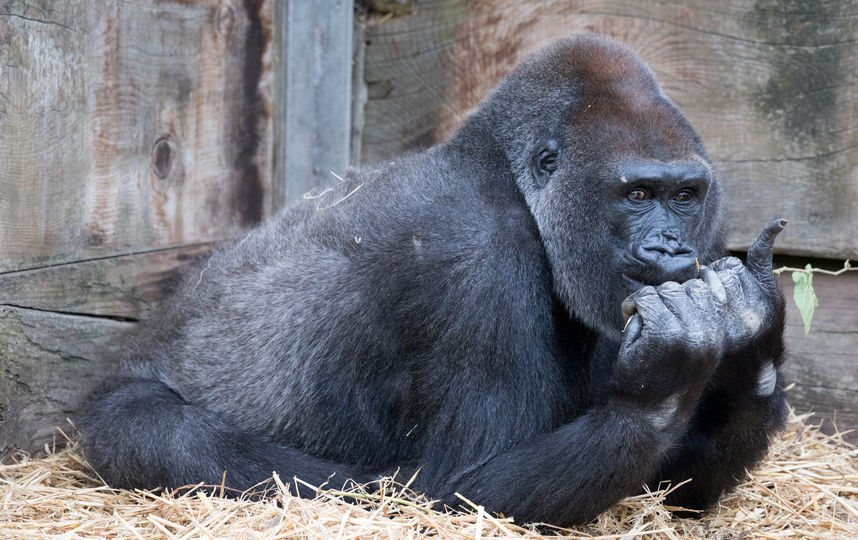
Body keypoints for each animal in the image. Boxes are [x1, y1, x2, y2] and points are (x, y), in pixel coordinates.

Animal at [77, 34, 784, 528]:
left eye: (684, 195)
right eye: (637, 195)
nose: (671, 246)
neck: (504, 174)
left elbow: (674, 483)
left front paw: (755, 343)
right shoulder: (477, 255)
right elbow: (464, 488)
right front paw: (660, 385)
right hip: (114, 409)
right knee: (173, 435)